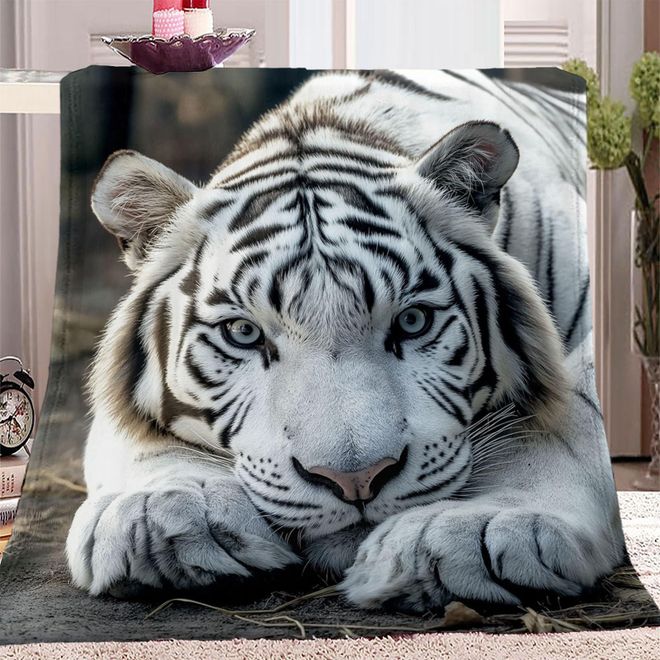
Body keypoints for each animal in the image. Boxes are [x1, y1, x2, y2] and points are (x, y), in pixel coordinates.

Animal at [66, 69, 625, 611]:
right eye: (243, 333)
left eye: (413, 322)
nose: (356, 479)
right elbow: (135, 440)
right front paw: (161, 512)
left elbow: (574, 415)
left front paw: (474, 528)